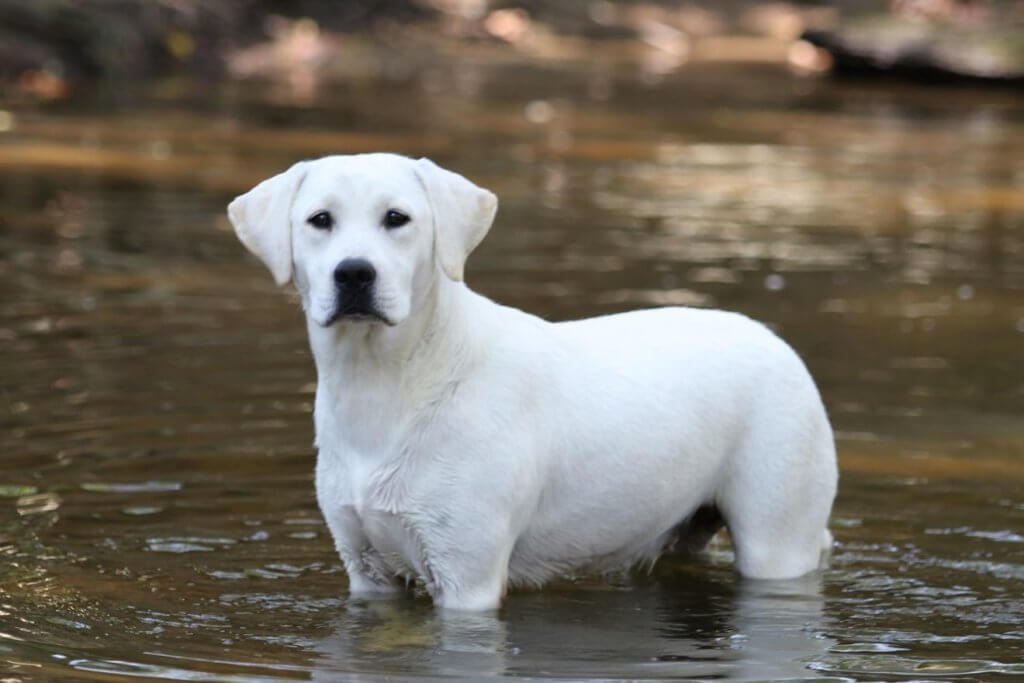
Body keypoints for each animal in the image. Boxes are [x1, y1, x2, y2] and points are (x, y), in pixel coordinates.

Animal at [228, 153, 835, 610]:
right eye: (319, 220)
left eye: (397, 218)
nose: (354, 272)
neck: (387, 384)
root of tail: (771, 337)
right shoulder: (367, 570)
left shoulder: (467, 573)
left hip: (777, 534)